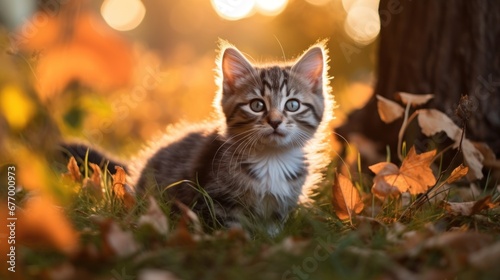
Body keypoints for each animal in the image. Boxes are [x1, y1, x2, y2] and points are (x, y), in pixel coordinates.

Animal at [129, 42, 334, 235]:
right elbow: (232, 231)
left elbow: (272, 231)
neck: (272, 158)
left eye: (292, 105)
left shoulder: (279, 209)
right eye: (257, 105)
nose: (275, 122)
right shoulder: (218, 201)